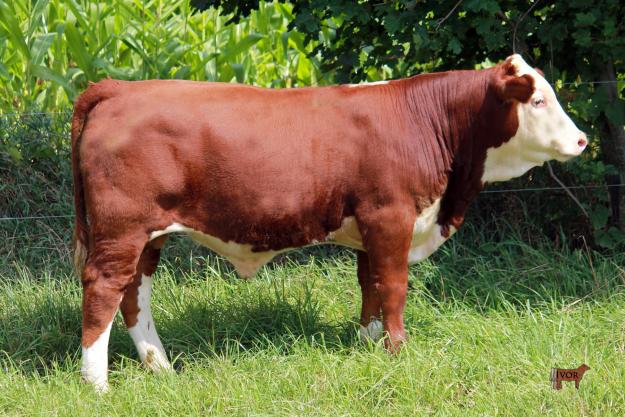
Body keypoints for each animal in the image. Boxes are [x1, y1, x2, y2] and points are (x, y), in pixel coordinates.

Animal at [71, 54, 586, 391]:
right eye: (538, 101)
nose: (582, 139)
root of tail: (120, 88)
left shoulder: (370, 227)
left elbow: (370, 284)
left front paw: (369, 343)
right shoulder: (391, 216)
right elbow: (394, 285)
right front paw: (398, 350)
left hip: (146, 236)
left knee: (134, 294)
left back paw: (160, 368)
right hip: (122, 228)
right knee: (103, 289)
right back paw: (98, 384)